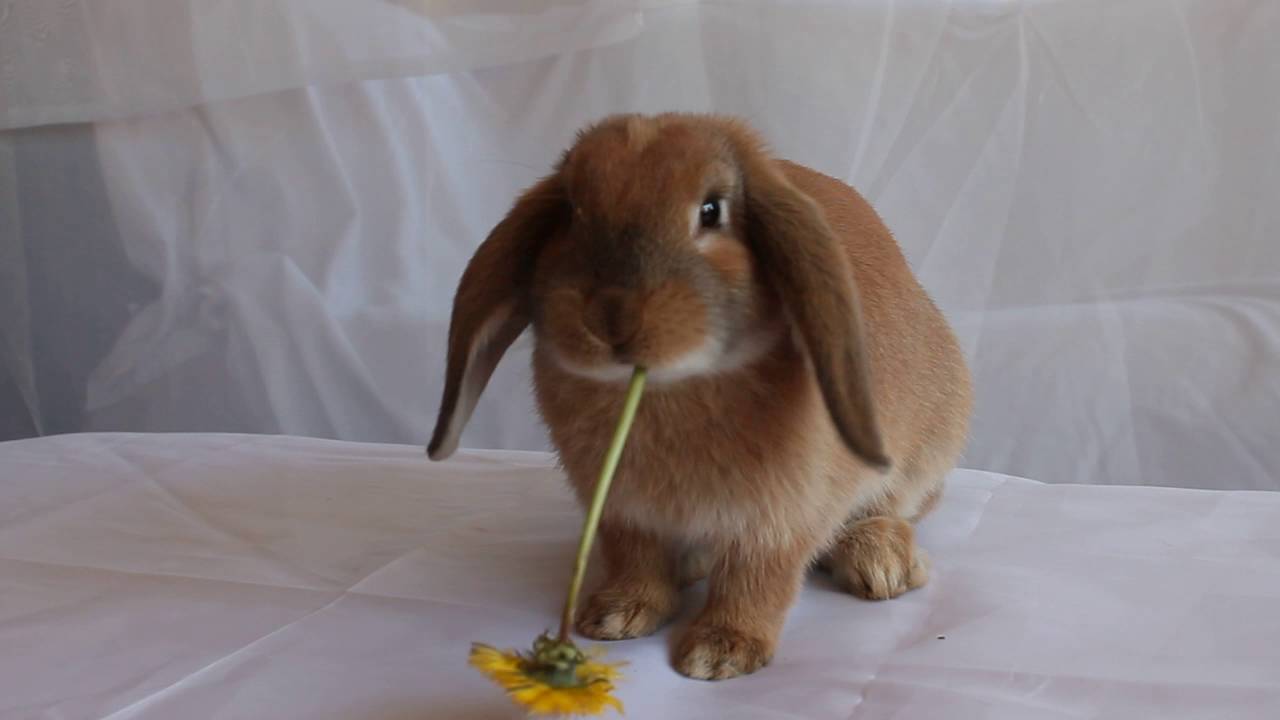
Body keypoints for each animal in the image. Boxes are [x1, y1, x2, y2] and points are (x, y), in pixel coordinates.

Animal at [424, 112, 972, 676]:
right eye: (572, 211)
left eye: (712, 210)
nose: (612, 315)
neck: (667, 388)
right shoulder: (622, 512)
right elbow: (636, 561)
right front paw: (616, 616)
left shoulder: (781, 519)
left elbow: (759, 581)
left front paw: (721, 652)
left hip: (920, 459)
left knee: (893, 508)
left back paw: (881, 563)